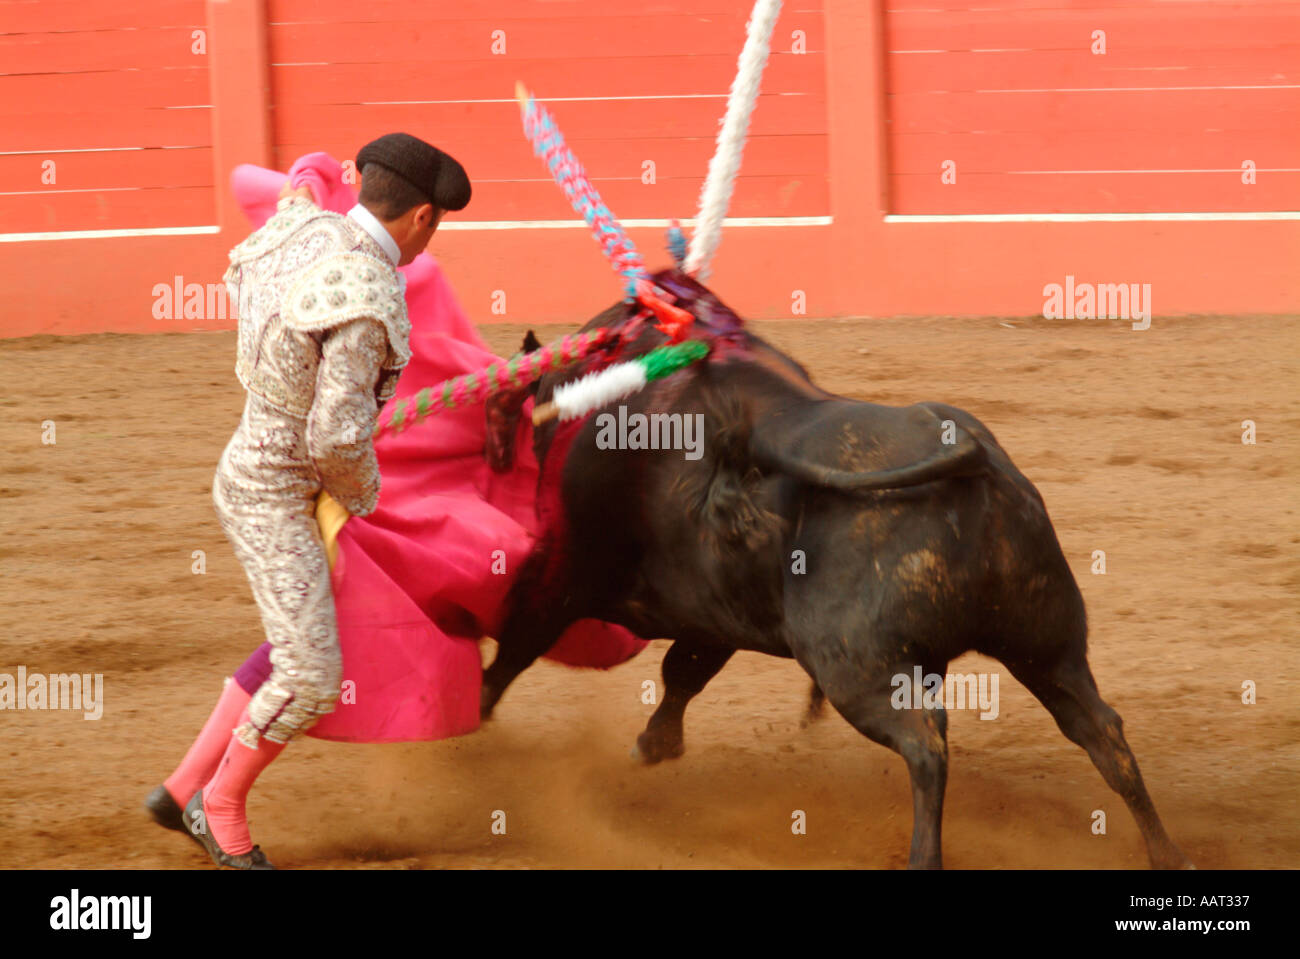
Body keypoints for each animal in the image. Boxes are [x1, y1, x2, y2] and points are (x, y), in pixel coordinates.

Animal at [478, 267, 1190, 868]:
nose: (495, 451)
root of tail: (979, 468)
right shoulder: (713, 611)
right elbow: (683, 672)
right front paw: (654, 745)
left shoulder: (564, 575)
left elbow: (513, 654)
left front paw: (470, 740)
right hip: (1045, 642)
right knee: (1101, 731)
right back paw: (1166, 854)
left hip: (855, 667)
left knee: (927, 746)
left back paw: (923, 858)